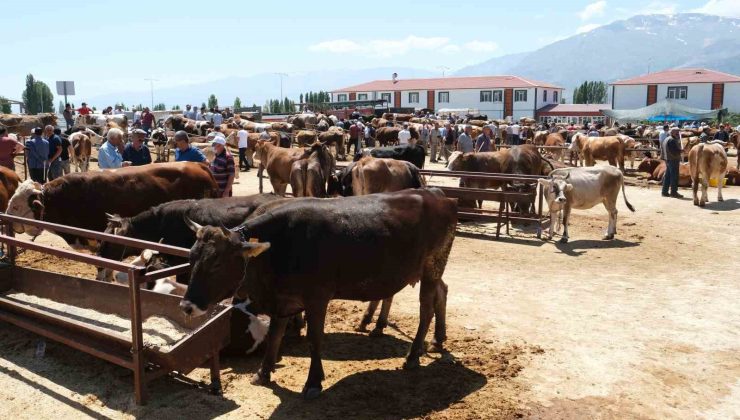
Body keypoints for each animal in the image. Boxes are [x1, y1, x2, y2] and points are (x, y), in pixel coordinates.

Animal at [179, 189, 456, 400]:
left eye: (216, 262)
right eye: (191, 256)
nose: (187, 306)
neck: (279, 247)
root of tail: (436, 194)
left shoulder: (317, 299)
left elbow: (315, 339)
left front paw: (313, 382)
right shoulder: (283, 300)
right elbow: (275, 335)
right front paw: (263, 373)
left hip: (432, 266)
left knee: (426, 309)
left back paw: (413, 355)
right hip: (431, 270)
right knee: (442, 292)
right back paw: (438, 339)